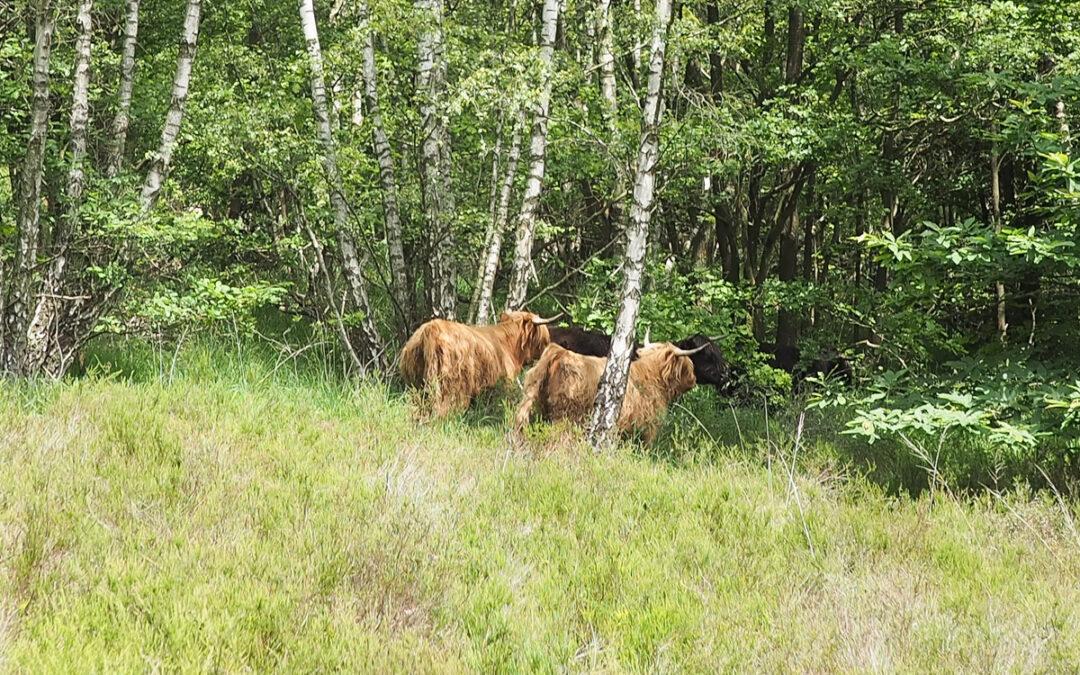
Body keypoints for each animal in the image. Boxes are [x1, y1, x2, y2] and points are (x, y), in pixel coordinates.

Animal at [401, 311, 561, 416]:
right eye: (543, 339)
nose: (546, 352)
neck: (508, 344)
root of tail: (431, 329)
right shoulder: (505, 384)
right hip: (452, 386)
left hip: (415, 385)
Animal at [516, 339, 708, 440]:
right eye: (687, 365)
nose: (694, 379)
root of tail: (560, 353)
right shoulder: (650, 426)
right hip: (566, 416)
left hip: (543, 409)